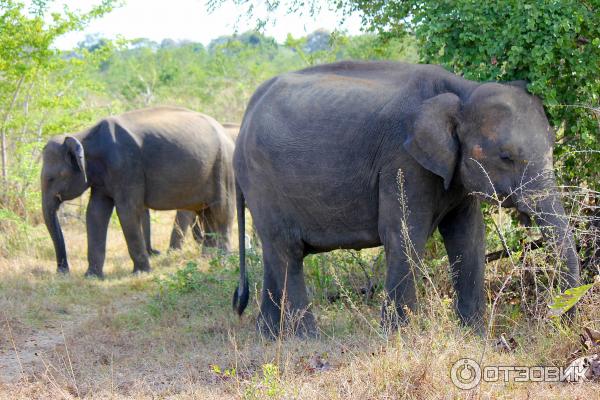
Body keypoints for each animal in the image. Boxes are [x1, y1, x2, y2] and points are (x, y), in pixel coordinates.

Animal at [232, 61, 580, 338]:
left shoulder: (454, 172)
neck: (463, 91)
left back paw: (269, 337)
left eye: (552, 146)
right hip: (263, 180)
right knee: (287, 250)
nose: (559, 323)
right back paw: (306, 339)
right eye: (506, 157)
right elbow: (404, 234)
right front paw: (399, 339)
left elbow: (468, 238)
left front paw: (475, 336)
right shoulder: (402, 161)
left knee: (274, 253)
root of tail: (246, 113)